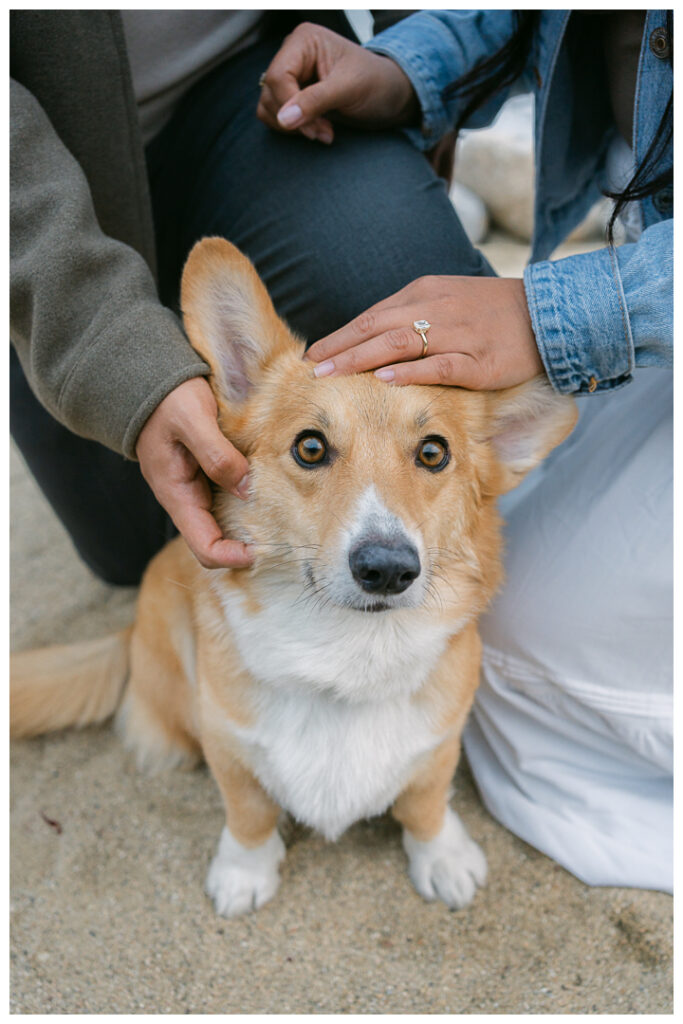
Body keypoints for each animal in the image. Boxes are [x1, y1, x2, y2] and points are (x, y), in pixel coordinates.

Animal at [10, 241, 577, 921]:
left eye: (433, 453)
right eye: (310, 447)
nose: (388, 568)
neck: (347, 657)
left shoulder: (440, 744)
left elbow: (425, 802)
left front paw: (441, 857)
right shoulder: (228, 746)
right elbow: (249, 811)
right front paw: (244, 872)